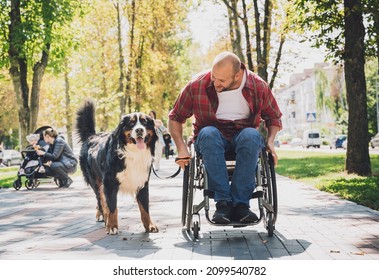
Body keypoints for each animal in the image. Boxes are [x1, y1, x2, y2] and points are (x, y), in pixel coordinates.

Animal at [75, 99, 159, 235]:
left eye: (145, 122)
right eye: (131, 123)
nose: (139, 130)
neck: (133, 154)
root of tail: (91, 136)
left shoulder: (142, 182)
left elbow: (145, 208)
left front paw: (149, 226)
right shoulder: (109, 183)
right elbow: (112, 207)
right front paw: (112, 226)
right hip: (96, 181)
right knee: (101, 200)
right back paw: (104, 218)